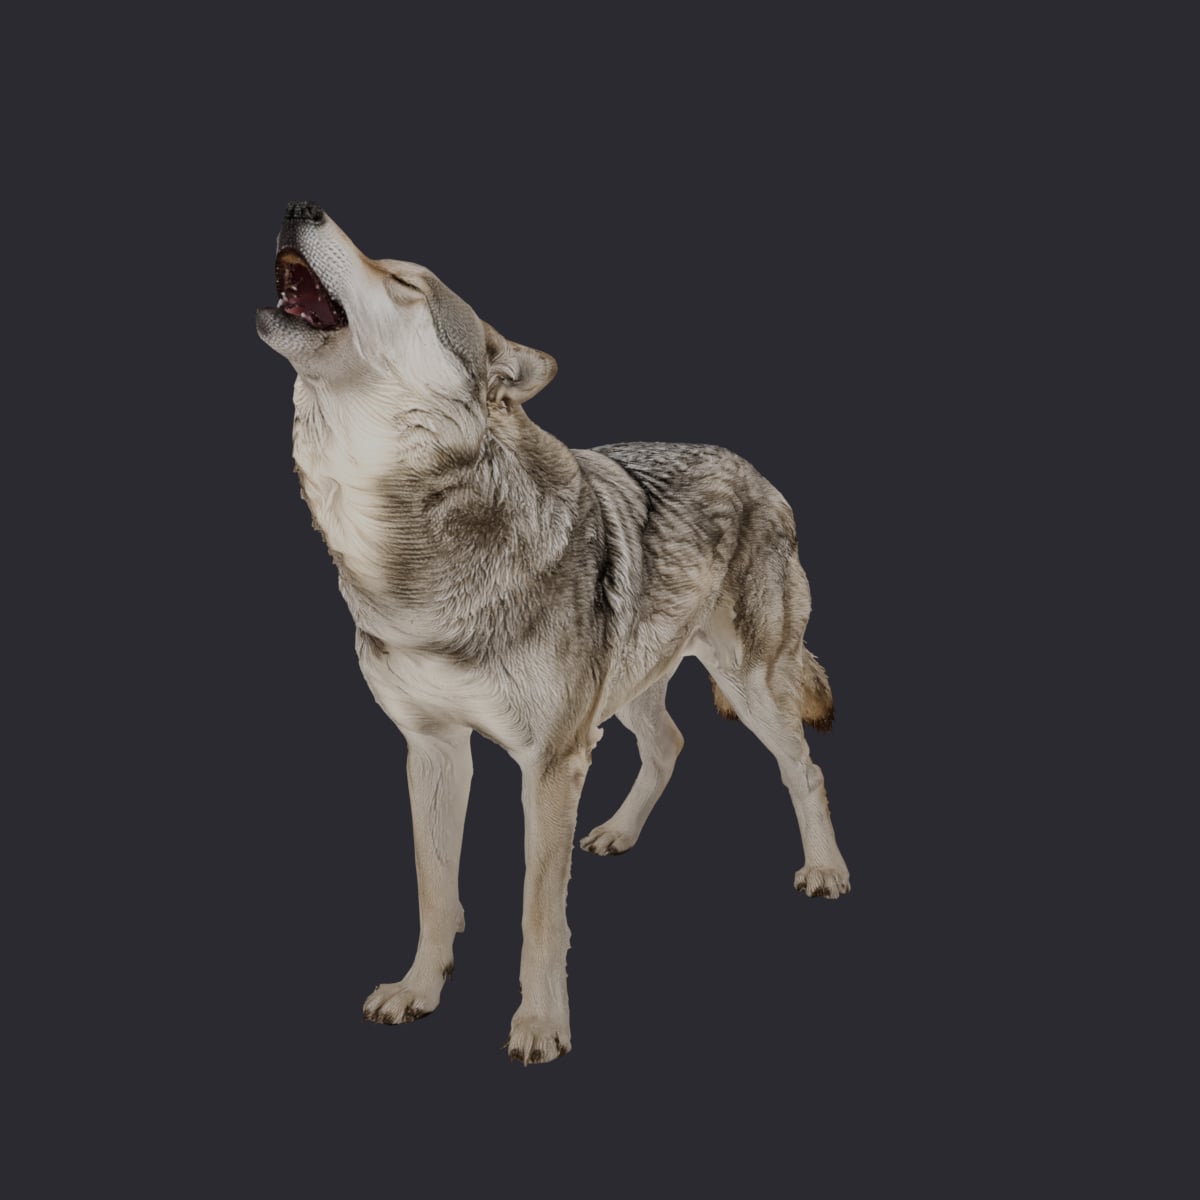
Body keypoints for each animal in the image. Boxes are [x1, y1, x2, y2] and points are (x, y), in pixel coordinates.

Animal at [256, 202, 850, 1064]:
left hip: (750, 686)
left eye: (402, 282)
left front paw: (539, 1026)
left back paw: (826, 870)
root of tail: (760, 475)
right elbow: (435, 890)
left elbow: (539, 915)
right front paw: (418, 990)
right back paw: (618, 833)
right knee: (670, 742)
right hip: (631, 685)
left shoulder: (547, 763)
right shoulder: (433, 748)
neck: (410, 553)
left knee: (803, 769)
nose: (300, 207)